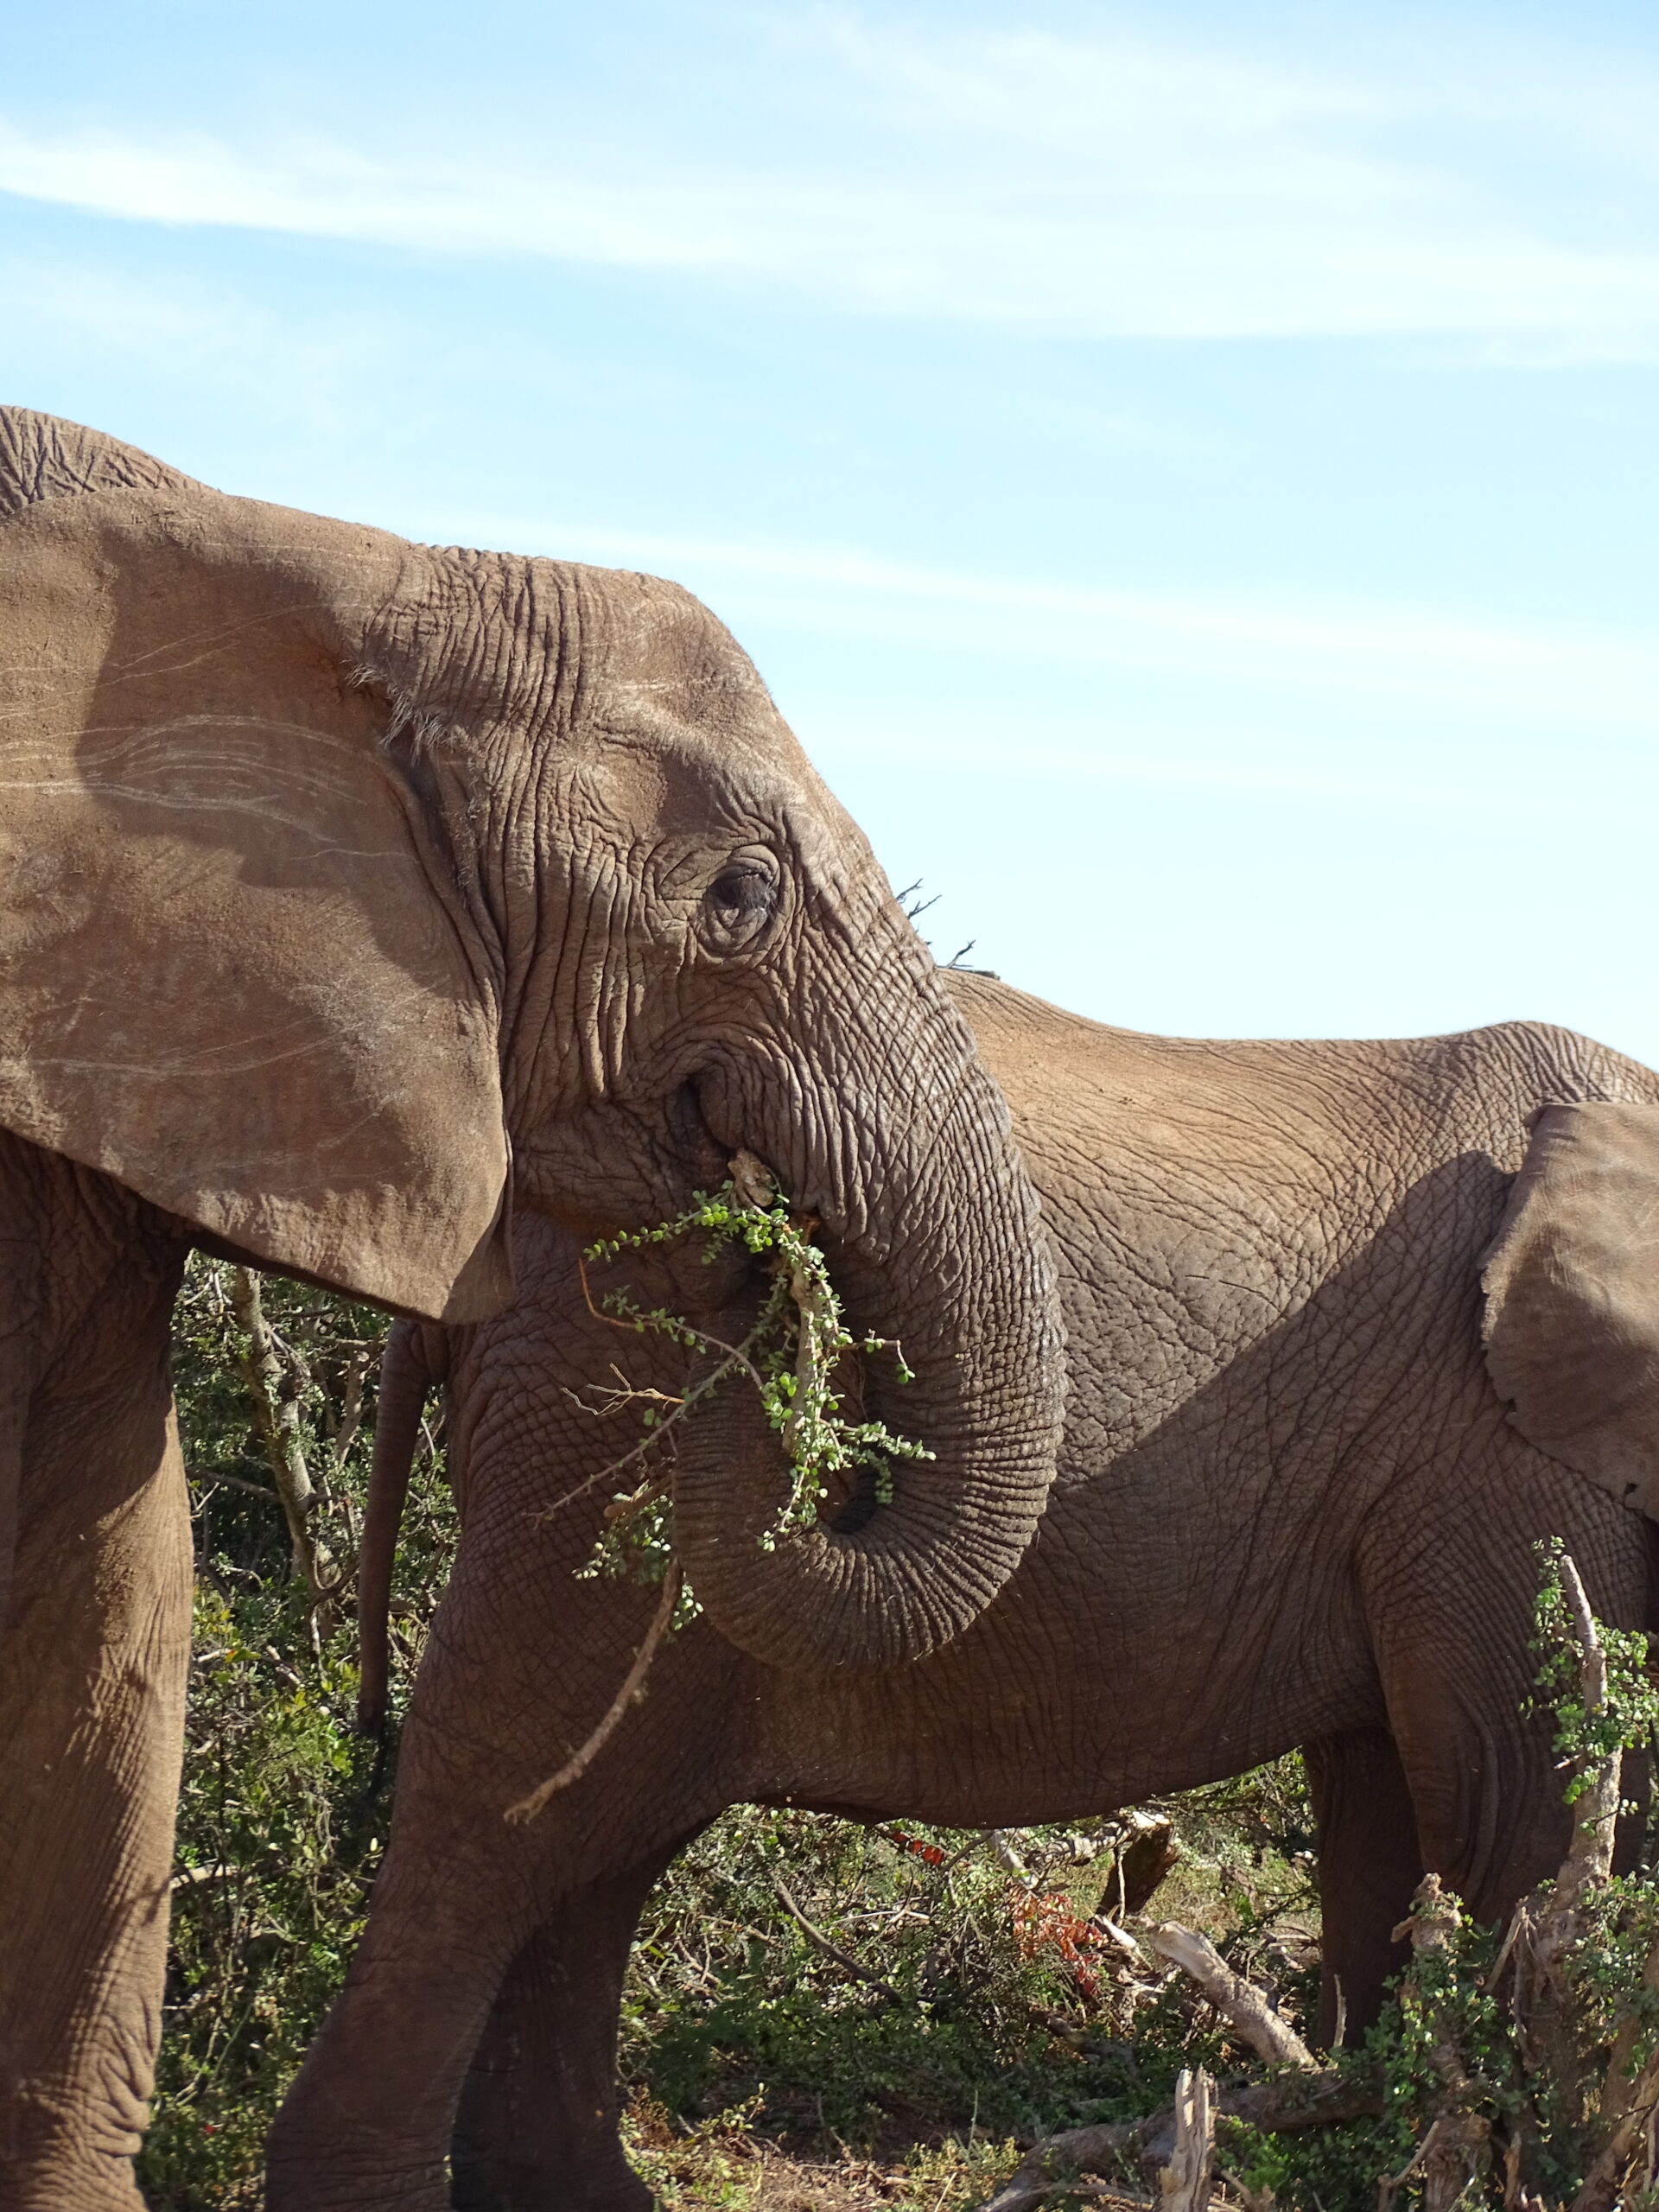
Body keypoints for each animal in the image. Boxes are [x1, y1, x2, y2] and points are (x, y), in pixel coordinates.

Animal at [290, 969, 1659, 2212]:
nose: (772, 1239)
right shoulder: (1503, 1461)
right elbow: (1520, 1801)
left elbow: (1389, 1818)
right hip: (587, 1408)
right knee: (501, 1802)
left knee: (595, 1847)